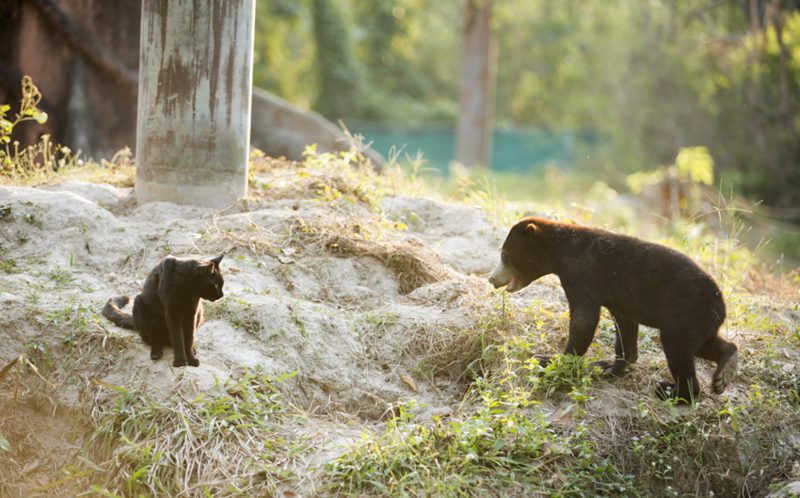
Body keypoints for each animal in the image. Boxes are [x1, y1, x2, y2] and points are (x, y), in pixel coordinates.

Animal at [490, 216, 740, 402]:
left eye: (504, 255)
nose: (492, 278)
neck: (562, 252)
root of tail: (721, 304)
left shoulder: (584, 274)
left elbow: (583, 320)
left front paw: (552, 359)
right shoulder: (620, 297)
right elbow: (624, 325)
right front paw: (609, 367)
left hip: (684, 310)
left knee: (677, 348)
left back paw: (675, 392)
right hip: (698, 318)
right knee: (701, 344)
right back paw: (724, 369)